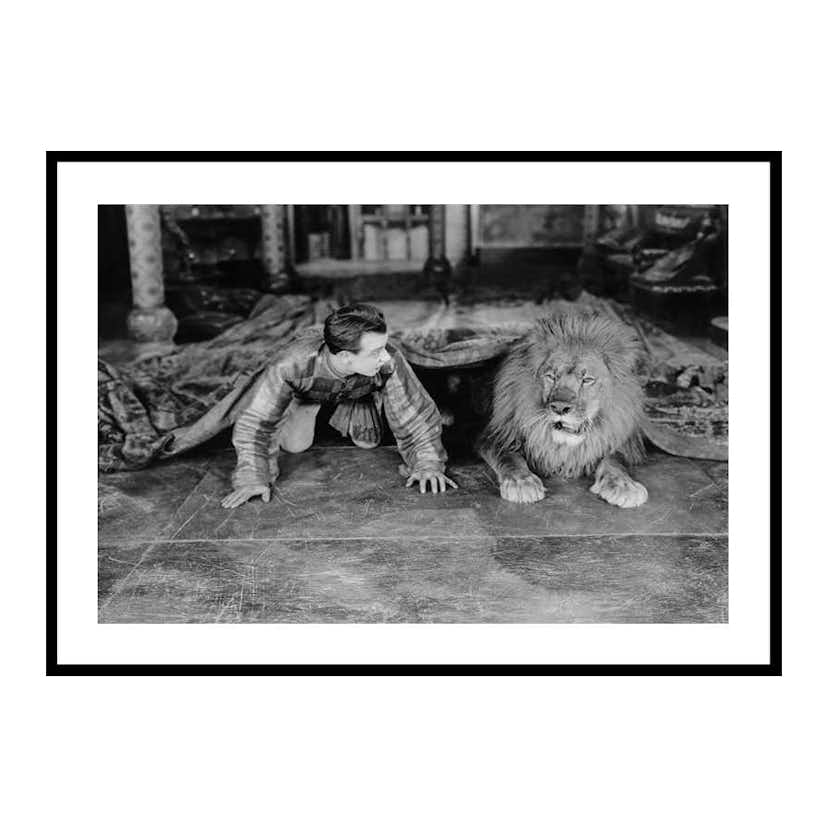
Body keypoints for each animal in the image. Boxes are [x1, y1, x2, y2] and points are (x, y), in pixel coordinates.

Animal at [478, 311, 649, 508]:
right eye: (551, 376)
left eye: (587, 380)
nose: (559, 407)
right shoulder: (497, 435)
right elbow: (508, 457)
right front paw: (521, 482)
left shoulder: (622, 440)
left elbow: (614, 460)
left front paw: (624, 485)